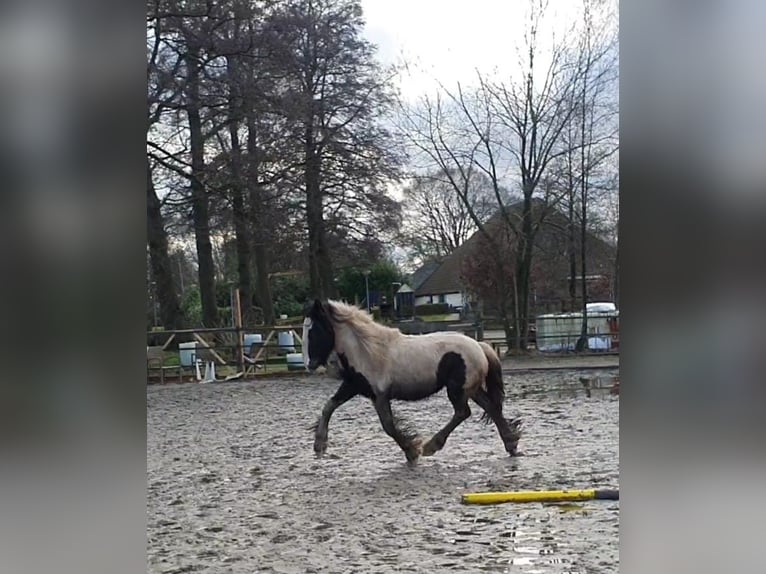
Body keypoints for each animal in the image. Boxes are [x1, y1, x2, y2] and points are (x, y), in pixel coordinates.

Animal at [304, 300, 524, 466]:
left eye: (314, 331)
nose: (310, 365)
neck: (367, 351)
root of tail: (479, 345)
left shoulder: (379, 395)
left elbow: (388, 426)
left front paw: (412, 451)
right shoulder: (354, 386)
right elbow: (329, 406)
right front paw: (319, 444)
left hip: (457, 389)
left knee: (463, 412)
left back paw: (431, 446)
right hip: (471, 389)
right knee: (491, 407)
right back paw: (511, 444)